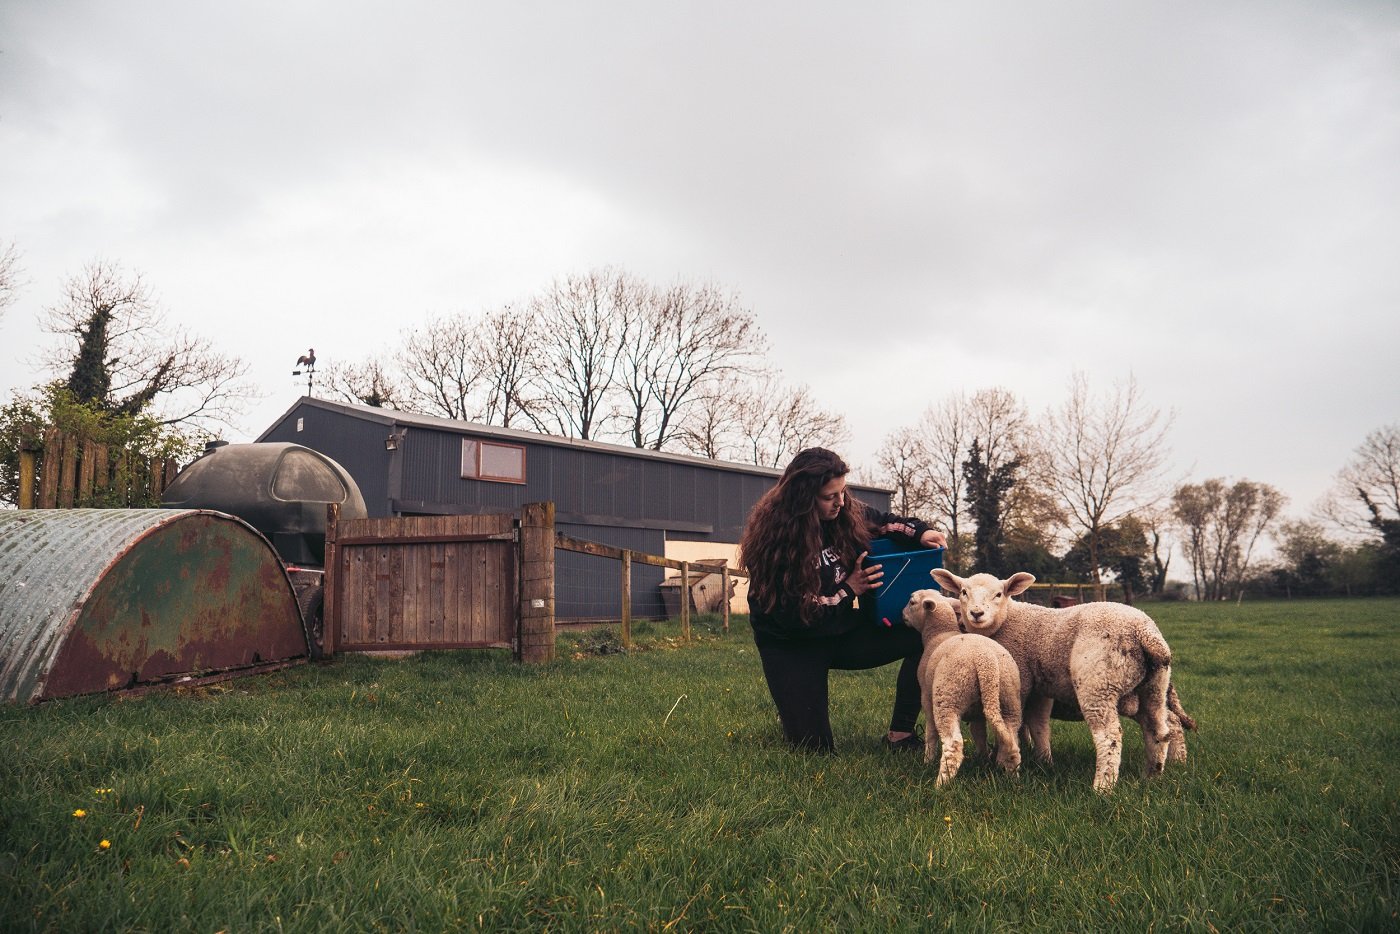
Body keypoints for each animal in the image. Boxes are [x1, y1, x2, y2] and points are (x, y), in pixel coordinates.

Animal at [901, 590, 1024, 784]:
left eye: (912, 602)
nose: (902, 615)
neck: (938, 633)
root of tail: (986, 660)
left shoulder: (926, 697)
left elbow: (931, 732)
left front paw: (927, 760)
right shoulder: (978, 713)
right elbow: (979, 734)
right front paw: (982, 759)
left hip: (948, 697)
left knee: (953, 745)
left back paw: (941, 784)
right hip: (1009, 699)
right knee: (1012, 741)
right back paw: (1013, 778)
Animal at [935, 565, 1176, 795]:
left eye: (998, 594)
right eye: (963, 592)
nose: (977, 613)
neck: (1006, 621)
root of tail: (1146, 633)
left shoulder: (1021, 682)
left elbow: (1015, 724)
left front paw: (1004, 759)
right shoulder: (1038, 688)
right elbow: (1038, 725)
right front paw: (1042, 761)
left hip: (1099, 683)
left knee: (1109, 736)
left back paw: (1102, 788)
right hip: (1155, 687)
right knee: (1159, 730)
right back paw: (1152, 776)